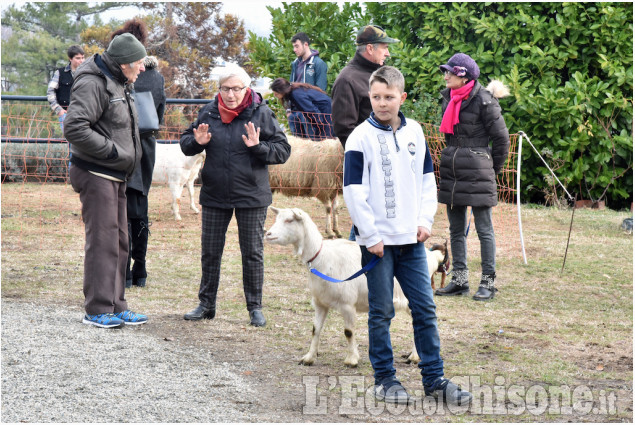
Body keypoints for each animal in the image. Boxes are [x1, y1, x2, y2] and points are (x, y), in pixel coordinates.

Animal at [264, 205, 422, 364]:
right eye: (277, 218)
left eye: (289, 220)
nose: (268, 234)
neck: (322, 257)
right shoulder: (320, 303)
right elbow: (315, 329)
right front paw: (309, 357)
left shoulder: (348, 305)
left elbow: (348, 332)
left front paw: (351, 359)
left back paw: (415, 357)